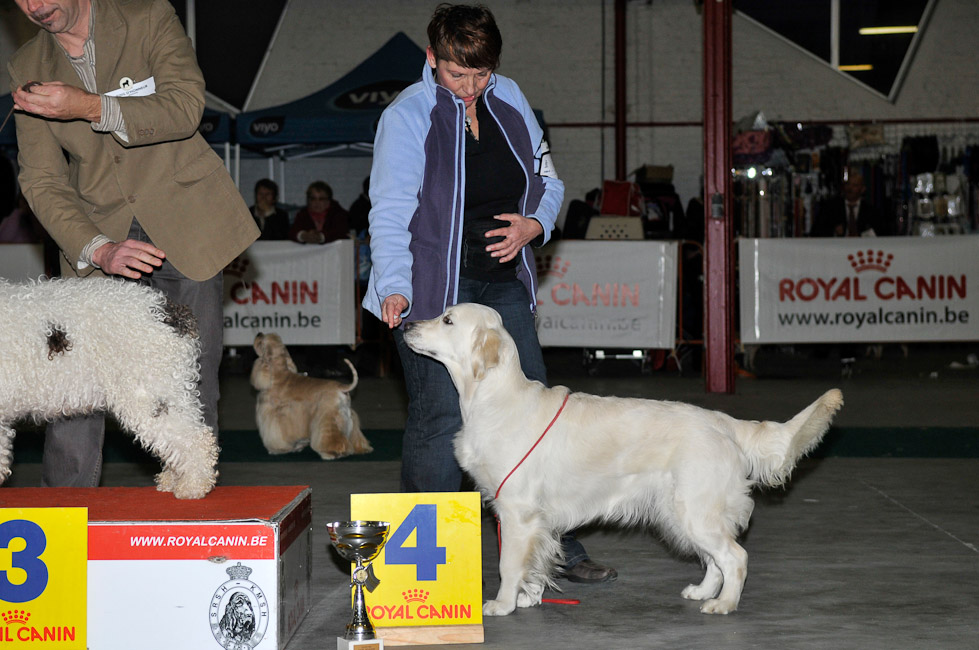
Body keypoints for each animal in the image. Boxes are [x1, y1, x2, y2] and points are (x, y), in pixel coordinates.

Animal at [402, 302, 848, 616]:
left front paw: (503, 604)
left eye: (447, 320)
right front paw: (528, 598)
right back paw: (702, 591)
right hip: (681, 509)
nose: (405, 324)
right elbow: (534, 563)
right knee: (715, 559)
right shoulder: (533, 519)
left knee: (734, 557)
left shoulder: (517, 511)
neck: (493, 399)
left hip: (694, 509)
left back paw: (723, 604)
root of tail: (724, 422)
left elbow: (510, 564)